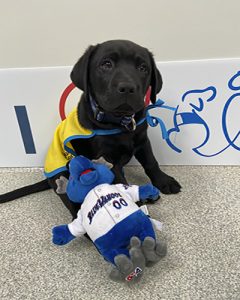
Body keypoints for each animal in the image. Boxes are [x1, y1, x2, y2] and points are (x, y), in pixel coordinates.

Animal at [0, 39, 181, 216]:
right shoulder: (107, 159)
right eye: (106, 64)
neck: (119, 121)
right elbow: (120, 181)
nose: (128, 88)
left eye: (143, 68)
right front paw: (135, 208)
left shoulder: (142, 140)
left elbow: (151, 162)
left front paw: (164, 181)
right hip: (62, 175)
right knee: (72, 204)